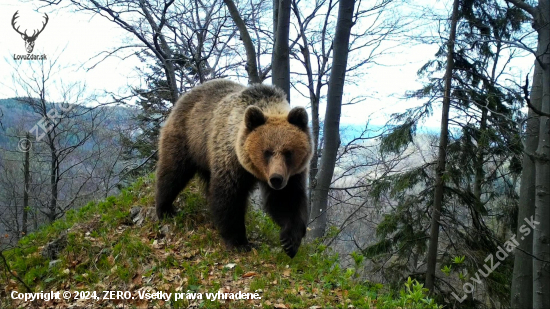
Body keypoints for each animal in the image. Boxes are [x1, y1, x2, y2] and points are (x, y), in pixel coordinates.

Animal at [155, 79, 312, 258]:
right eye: (267, 152)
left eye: (288, 152)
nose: (276, 179)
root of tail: (185, 96)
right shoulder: (231, 161)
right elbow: (229, 198)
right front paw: (239, 242)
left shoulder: (292, 174)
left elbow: (287, 200)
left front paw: (290, 242)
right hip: (188, 137)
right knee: (173, 172)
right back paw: (165, 209)